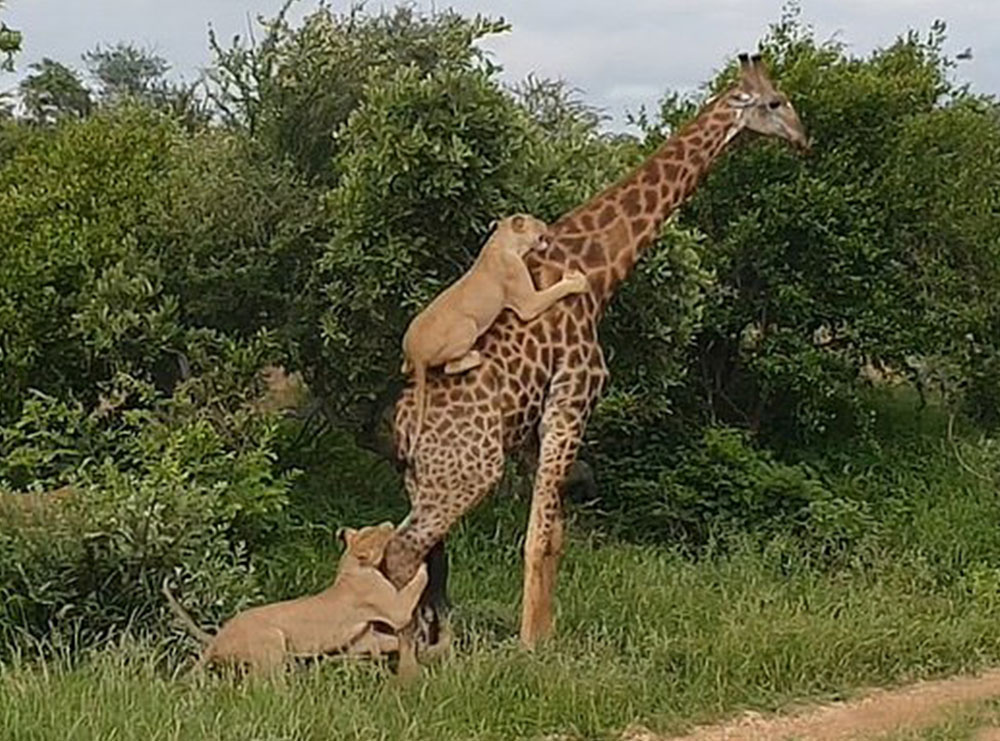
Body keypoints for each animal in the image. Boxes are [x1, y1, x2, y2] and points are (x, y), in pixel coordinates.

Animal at [378, 55, 808, 652]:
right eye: (775, 102)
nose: (805, 139)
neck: (601, 268)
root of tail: (399, 429)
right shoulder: (573, 396)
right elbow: (538, 537)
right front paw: (531, 647)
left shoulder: (539, 424)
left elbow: (554, 535)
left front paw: (545, 634)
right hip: (469, 471)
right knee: (401, 550)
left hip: (426, 480)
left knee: (422, 558)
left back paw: (429, 642)